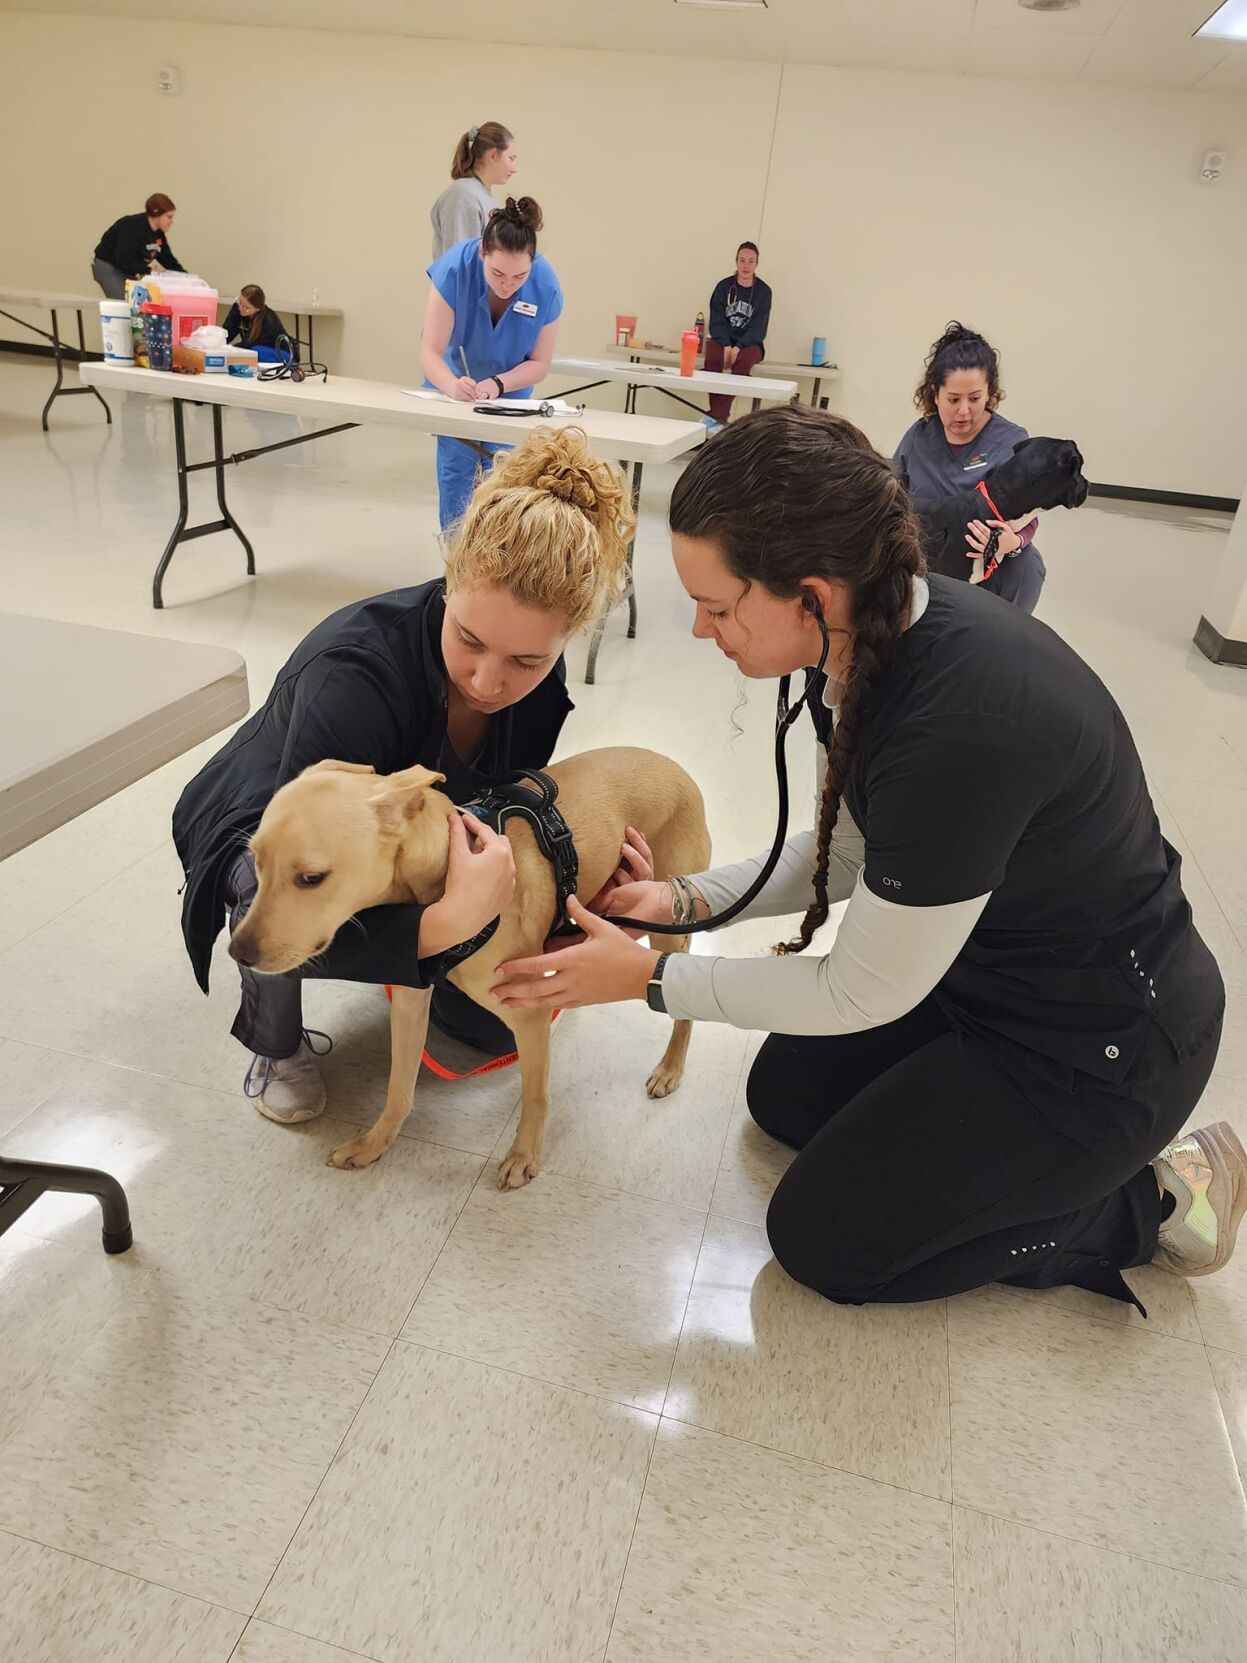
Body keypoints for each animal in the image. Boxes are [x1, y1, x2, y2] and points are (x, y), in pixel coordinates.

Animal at [227, 748, 708, 1190]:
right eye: (256, 860)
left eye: (311, 878)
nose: (237, 952)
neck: (446, 876)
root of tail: (674, 766)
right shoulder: (410, 1000)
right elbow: (399, 1088)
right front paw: (374, 1144)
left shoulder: (527, 1013)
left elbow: (535, 1094)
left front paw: (524, 1155)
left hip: (667, 920)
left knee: (679, 989)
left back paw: (670, 1068)